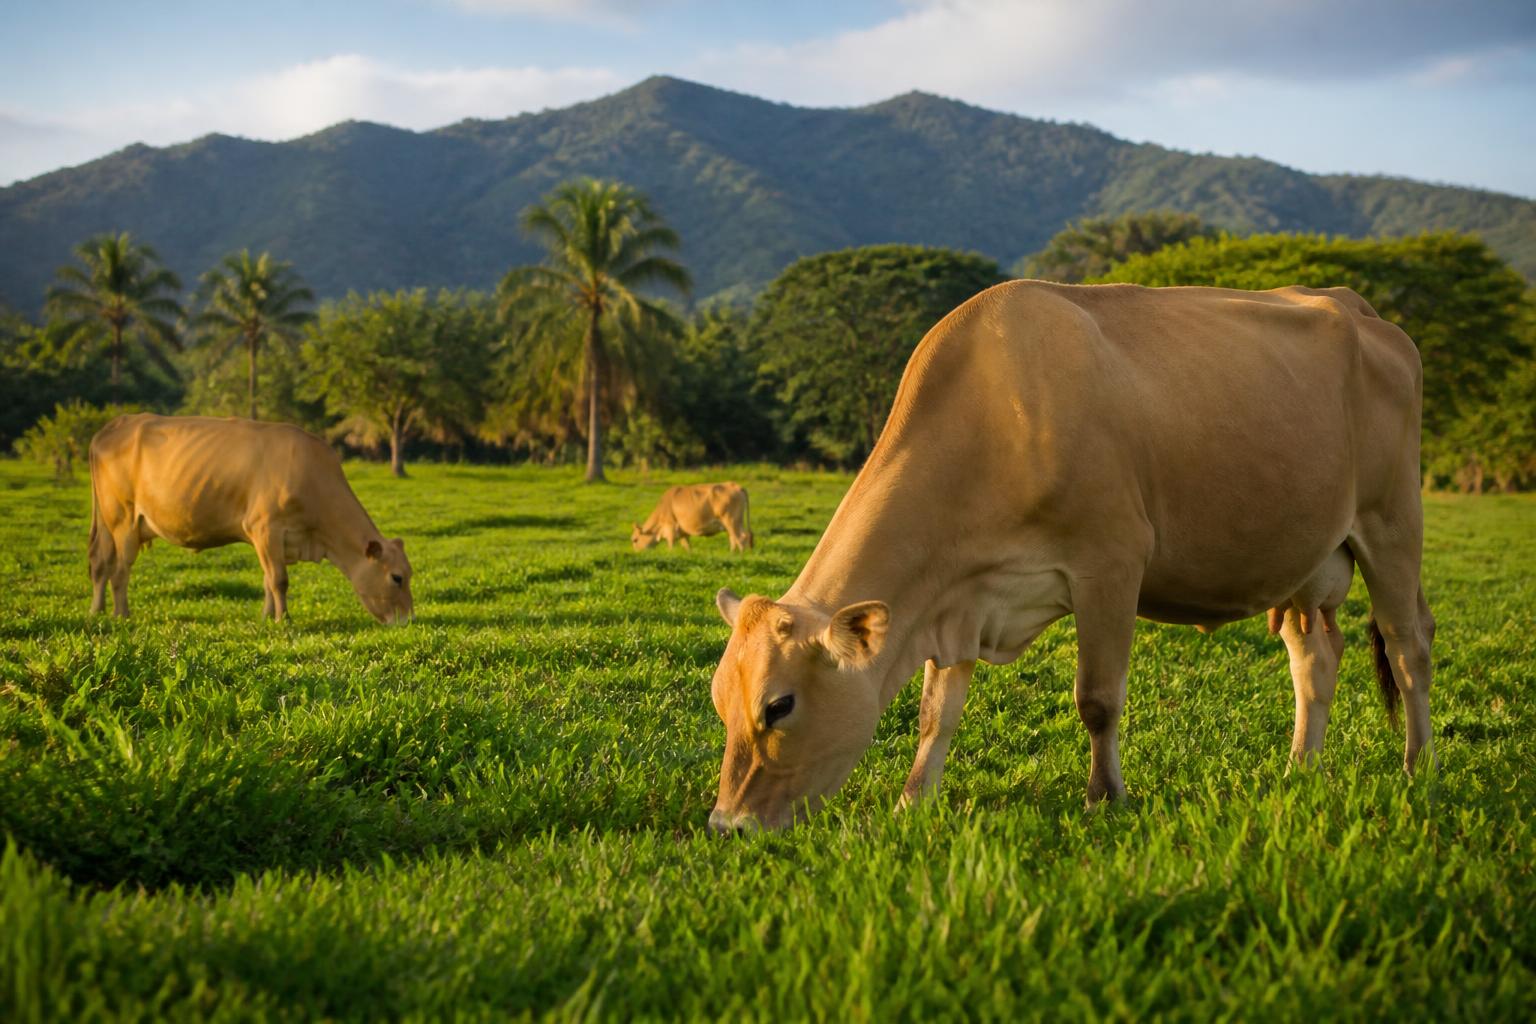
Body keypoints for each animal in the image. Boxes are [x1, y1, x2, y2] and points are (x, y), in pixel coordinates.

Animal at [87, 413, 413, 624]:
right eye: (396, 577)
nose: (408, 620)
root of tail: (113, 426)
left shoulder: (269, 539)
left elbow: (268, 579)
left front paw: (267, 617)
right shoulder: (267, 528)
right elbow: (279, 580)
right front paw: (284, 620)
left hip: (107, 521)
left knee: (101, 563)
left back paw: (97, 610)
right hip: (124, 519)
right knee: (120, 570)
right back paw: (121, 615)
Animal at [706, 281, 1435, 833]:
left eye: (779, 706)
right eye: (720, 702)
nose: (727, 825)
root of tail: (1357, 308)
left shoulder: (1110, 562)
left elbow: (1098, 700)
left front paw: (1104, 797)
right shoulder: (959, 596)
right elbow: (936, 713)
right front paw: (913, 801)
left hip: (1391, 521)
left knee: (1408, 645)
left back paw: (1416, 765)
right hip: (1309, 557)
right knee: (1314, 657)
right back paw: (1299, 768)